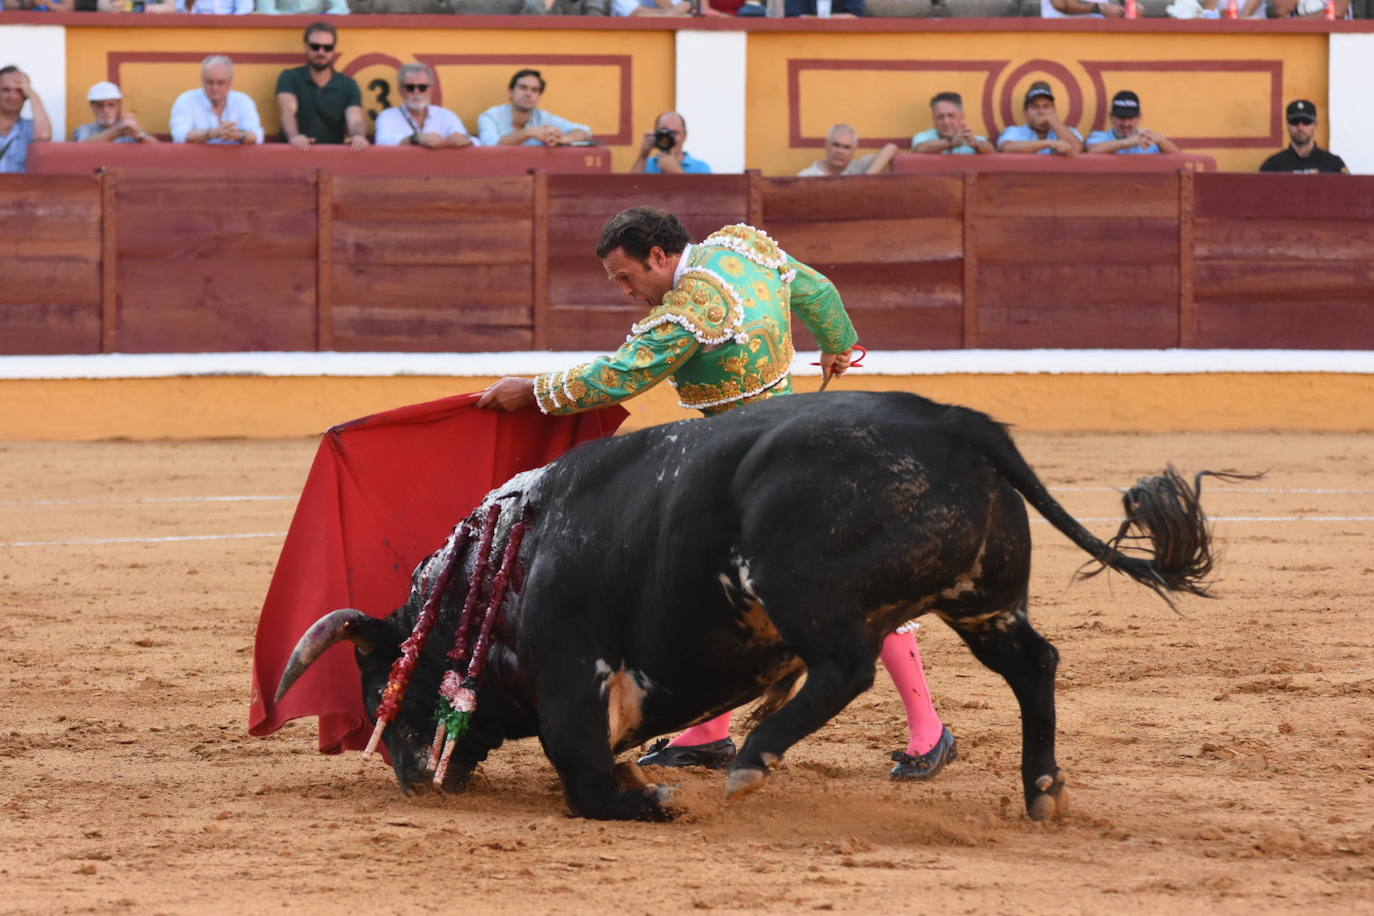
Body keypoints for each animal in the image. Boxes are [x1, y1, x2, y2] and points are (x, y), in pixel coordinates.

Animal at [273, 390, 1220, 818]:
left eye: (380, 676)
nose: (405, 772)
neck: (499, 570)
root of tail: (952, 419)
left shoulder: (574, 674)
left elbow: (584, 773)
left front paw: (651, 796)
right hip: (982, 599)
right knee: (1032, 664)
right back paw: (1041, 788)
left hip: (797, 584)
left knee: (847, 668)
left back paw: (754, 756)